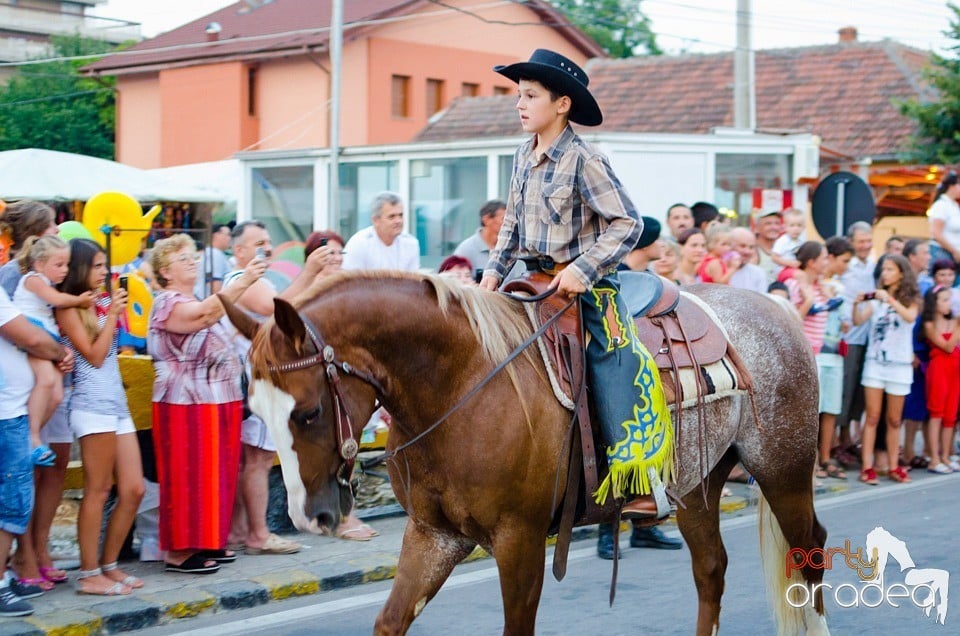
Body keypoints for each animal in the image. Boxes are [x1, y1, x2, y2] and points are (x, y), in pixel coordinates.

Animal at [221, 272, 828, 636]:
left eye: (307, 412)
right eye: (255, 411)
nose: (310, 516)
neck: (460, 384)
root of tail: (776, 307)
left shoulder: (521, 540)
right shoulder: (434, 535)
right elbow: (390, 622)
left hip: (783, 468)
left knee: (810, 550)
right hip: (697, 487)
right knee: (711, 568)